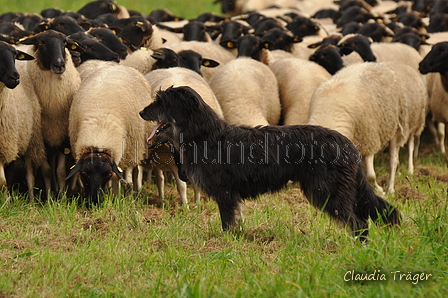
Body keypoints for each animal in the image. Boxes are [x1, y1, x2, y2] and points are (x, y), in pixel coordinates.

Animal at [0, 40, 45, 199]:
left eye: (15, 55)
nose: (15, 77)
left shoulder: (3, 145)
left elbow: (2, 182)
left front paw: (6, 202)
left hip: (31, 139)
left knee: (29, 175)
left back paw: (31, 201)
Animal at [66, 64, 153, 204]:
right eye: (84, 174)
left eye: (106, 174)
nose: (94, 201)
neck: (99, 130)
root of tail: (118, 65)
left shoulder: (127, 151)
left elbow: (122, 179)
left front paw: (121, 199)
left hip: (136, 147)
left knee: (134, 171)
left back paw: (135, 193)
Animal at [138, 86, 400, 240]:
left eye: (161, 102)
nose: (141, 112)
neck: (204, 136)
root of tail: (346, 143)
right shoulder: (231, 196)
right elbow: (236, 221)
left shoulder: (225, 194)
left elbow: (227, 223)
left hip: (327, 191)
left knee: (358, 223)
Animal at [308, 61, 428, 194]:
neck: (330, 112)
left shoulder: (369, 138)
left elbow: (370, 175)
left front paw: (379, 190)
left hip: (399, 126)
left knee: (394, 159)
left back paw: (391, 188)